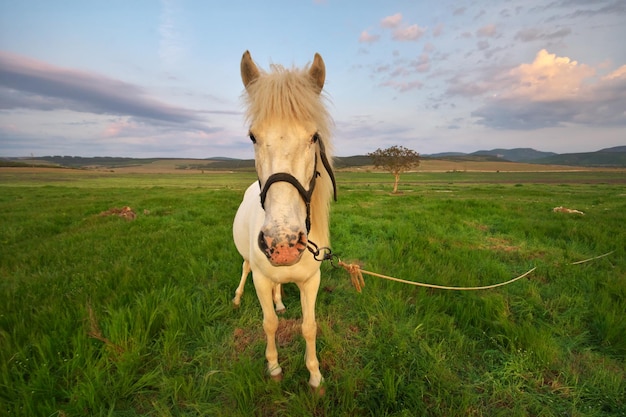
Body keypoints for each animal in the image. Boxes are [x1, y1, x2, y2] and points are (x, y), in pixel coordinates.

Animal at [232, 50, 334, 388]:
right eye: (252, 136)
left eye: (314, 136)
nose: (283, 244)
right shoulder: (261, 280)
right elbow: (270, 323)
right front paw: (274, 367)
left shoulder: (311, 282)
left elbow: (309, 326)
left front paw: (314, 375)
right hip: (249, 262)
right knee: (245, 268)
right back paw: (237, 297)